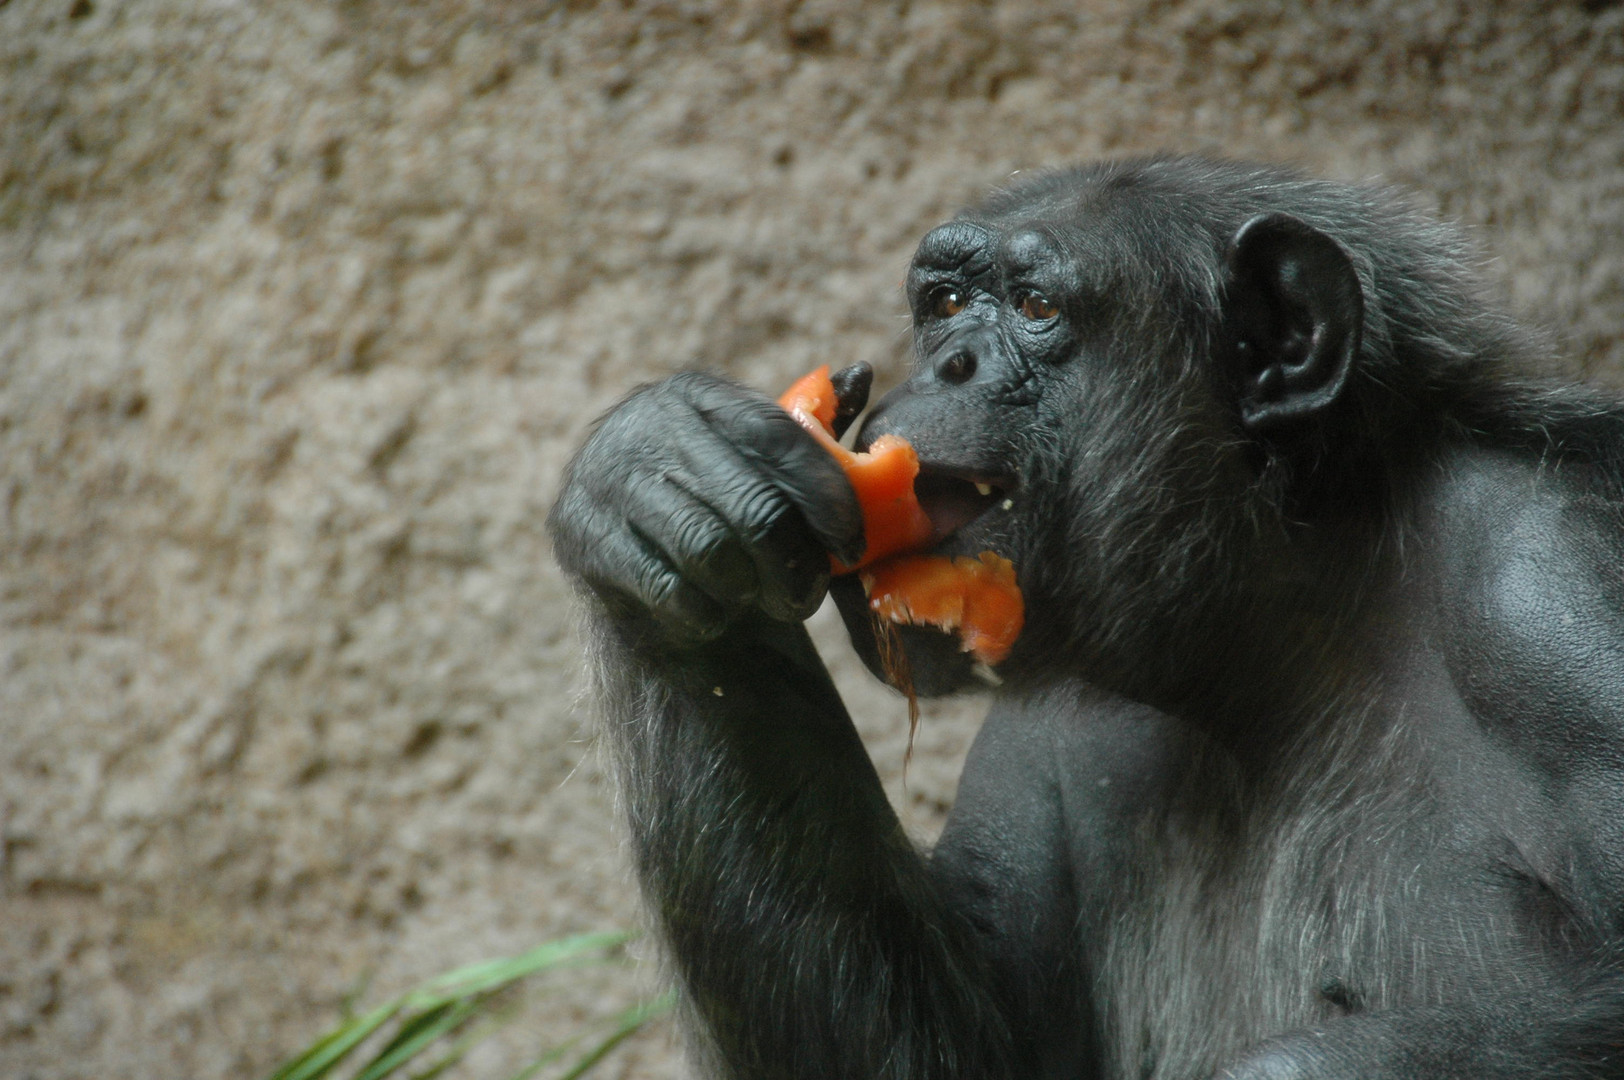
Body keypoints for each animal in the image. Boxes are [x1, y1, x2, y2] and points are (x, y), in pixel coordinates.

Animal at [548, 153, 1624, 1078]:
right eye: (945, 305)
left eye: (1035, 307)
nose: (947, 366)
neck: (1286, 617)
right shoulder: (1037, 735)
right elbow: (954, 1045)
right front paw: (658, 474)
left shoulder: (1553, 594)